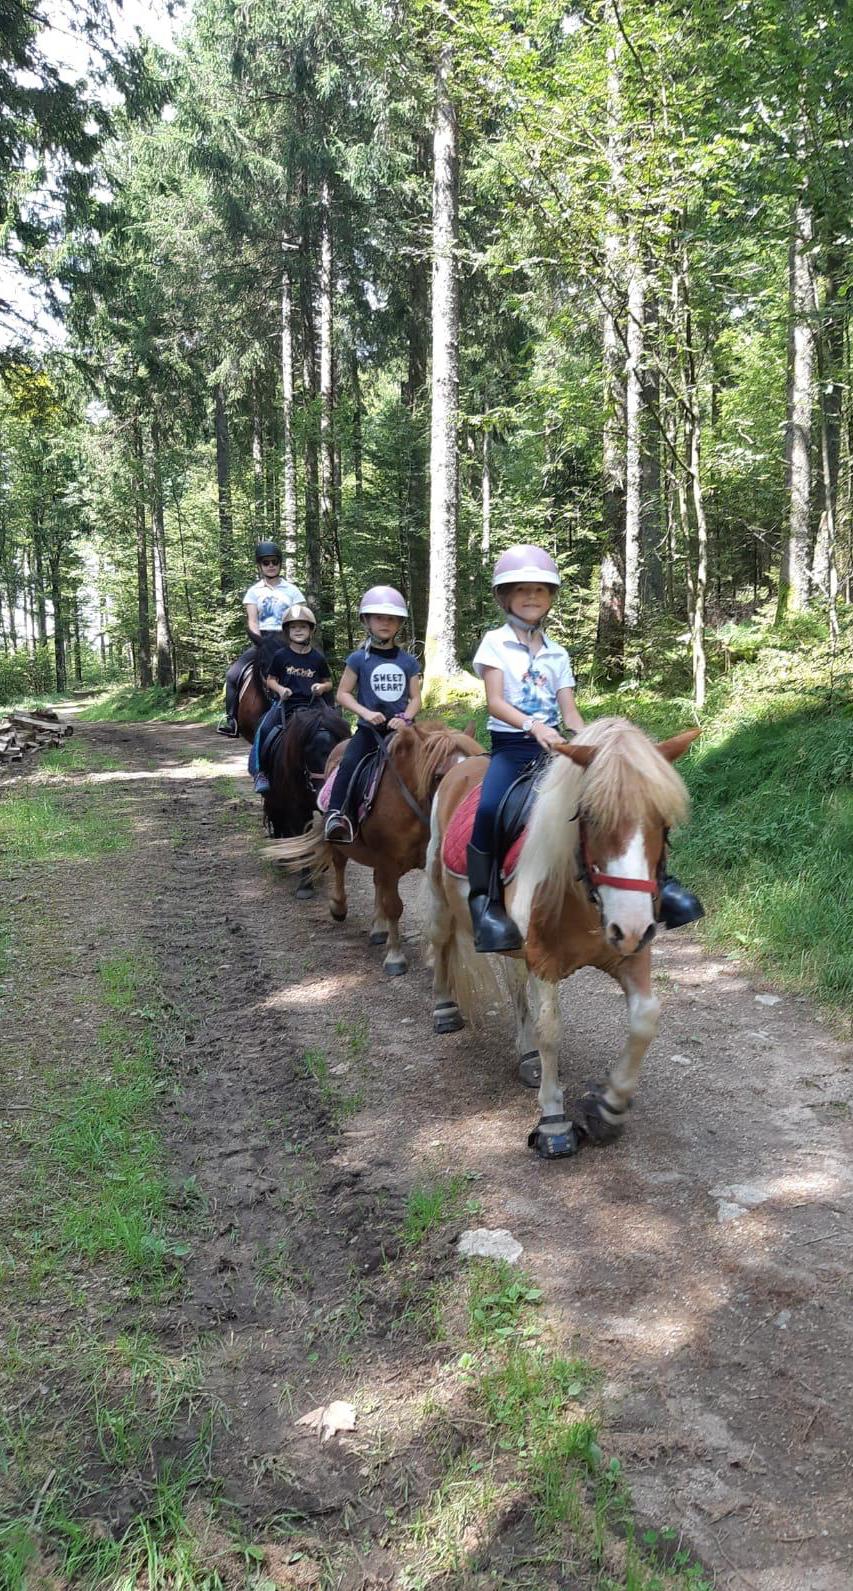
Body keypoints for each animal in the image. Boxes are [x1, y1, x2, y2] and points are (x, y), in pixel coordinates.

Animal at [262, 702, 350, 899]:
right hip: (274, 800)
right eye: (307, 751)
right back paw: (282, 858)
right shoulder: (297, 809)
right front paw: (305, 886)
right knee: (278, 823)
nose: (325, 793)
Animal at [267, 719, 483, 975]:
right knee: (340, 865)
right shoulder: (388, 860)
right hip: (342, 841)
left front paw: (432, 959)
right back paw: (339, 907)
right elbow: (394, 906)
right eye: (438, 775)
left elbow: (432, 909)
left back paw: (379, 928)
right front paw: (395, 957)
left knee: (377, 881)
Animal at [426, 716, 700, 1159]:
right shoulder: (545, 962)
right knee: (440, 939)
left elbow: (645, 1019)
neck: (581, 894)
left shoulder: (630, 954)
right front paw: (554, 1123)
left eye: (662, 820)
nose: (630, 927)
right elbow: (551, 1030)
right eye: (588, 815)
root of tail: (463, 765)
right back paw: (444, 1009)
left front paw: (609, 1108)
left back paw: (526, 1056)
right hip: (439, 891)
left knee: (513, 982)